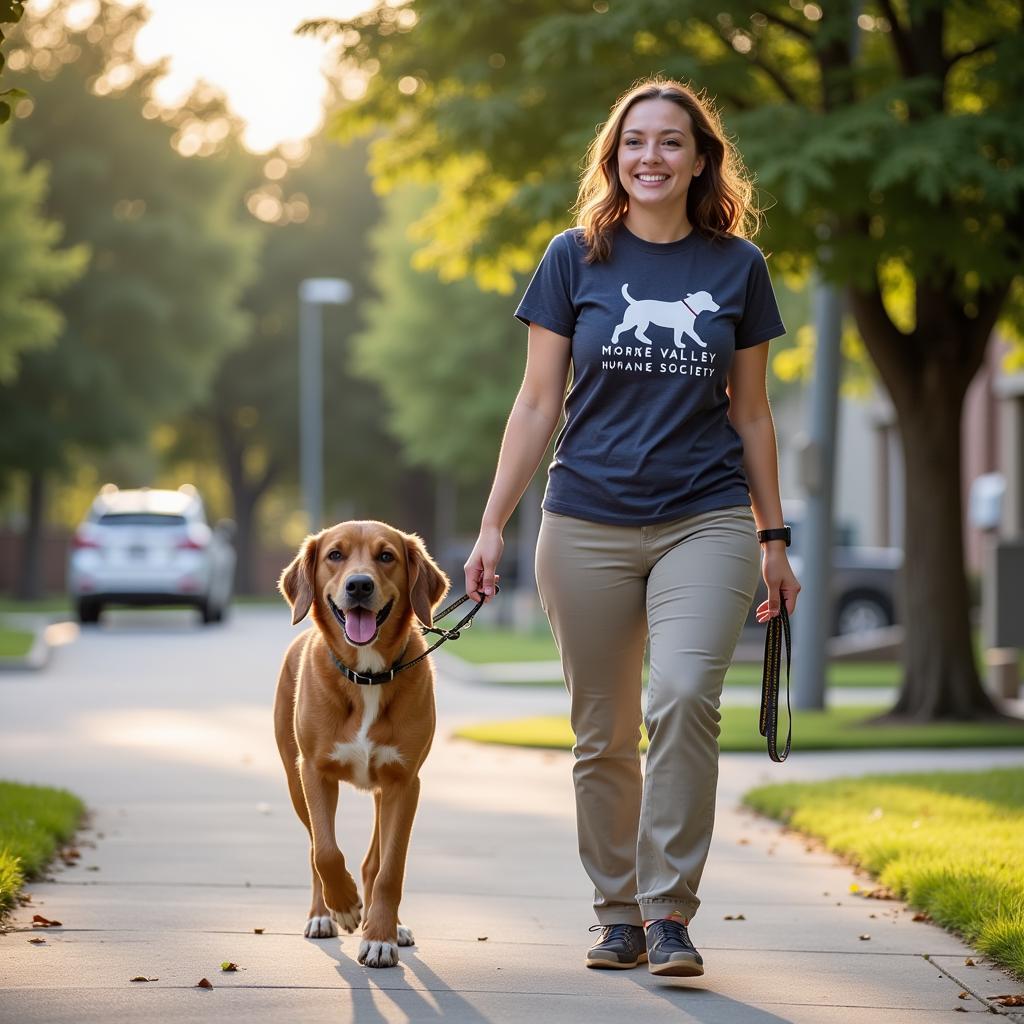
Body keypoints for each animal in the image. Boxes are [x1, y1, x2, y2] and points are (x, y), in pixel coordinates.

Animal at [276, 520, 448, 966]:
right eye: (335, 555)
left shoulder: (404, 782)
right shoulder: (314, 773)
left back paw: (388, 925)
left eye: (386, 556)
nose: (358, 585)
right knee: (314, 847)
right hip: (294, 782)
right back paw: (323, 914)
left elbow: (390, 869)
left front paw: (380, 937)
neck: (369, 675)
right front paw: (344, 906)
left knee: (375, 862)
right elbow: (325, 852)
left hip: (383, 791)